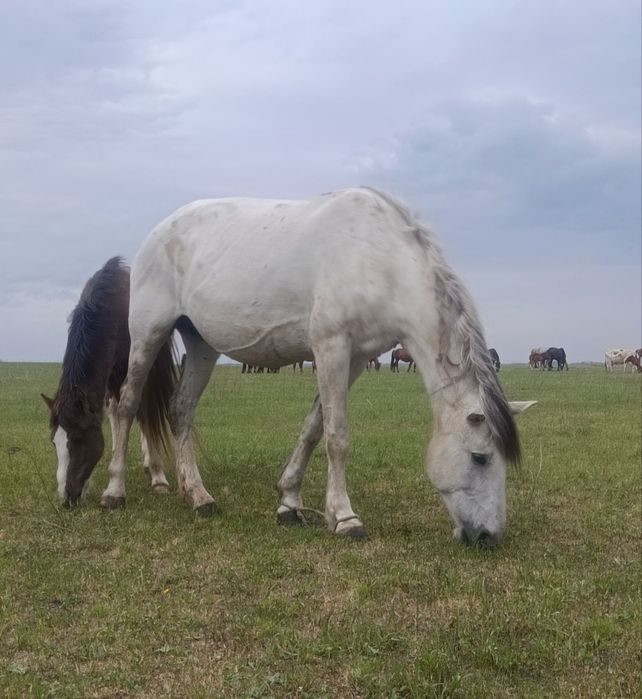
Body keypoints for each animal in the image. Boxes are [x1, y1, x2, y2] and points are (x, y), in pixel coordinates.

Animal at [42, 258, 176, 506]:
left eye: (78, 438)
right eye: (54, 442)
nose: (66, 497)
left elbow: (144, 413)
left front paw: (158, 476)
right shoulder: (111, 373)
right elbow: (117, 413)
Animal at [61, 188, 536, 547]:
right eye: (480, 458)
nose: (490, 537)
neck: (378, 259)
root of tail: (157, 233)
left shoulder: (356, 358)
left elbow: (313, 427)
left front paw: (289, 501)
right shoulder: (331, 348)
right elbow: (337, 435)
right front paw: (344, 517)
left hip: (201, 345)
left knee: (180, 411)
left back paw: (198, 496)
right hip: (148, 333)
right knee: (125, 406)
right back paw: (114, 492)